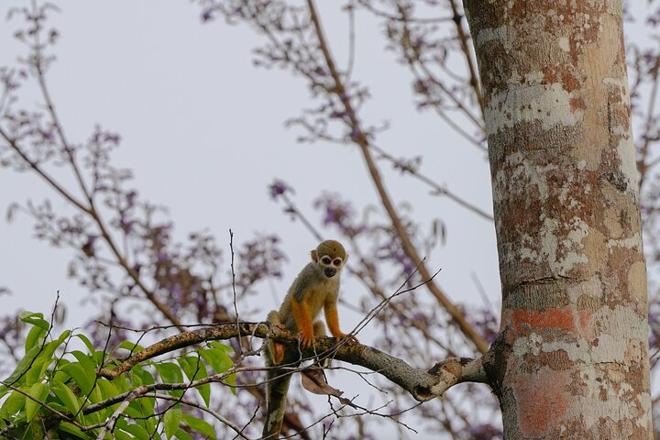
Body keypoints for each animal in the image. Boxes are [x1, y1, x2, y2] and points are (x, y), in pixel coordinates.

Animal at [264, 241, 356, 440]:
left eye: (337, 262)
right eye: (326, 260)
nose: (331, 269)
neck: (322, 276)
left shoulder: (336, 281)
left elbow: (330, 306)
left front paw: (340, 334)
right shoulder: (307, 273)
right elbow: (298, 300)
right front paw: (306, 334)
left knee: (319, 323)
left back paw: (319, 361)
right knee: (273, 316)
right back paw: (277, 348)